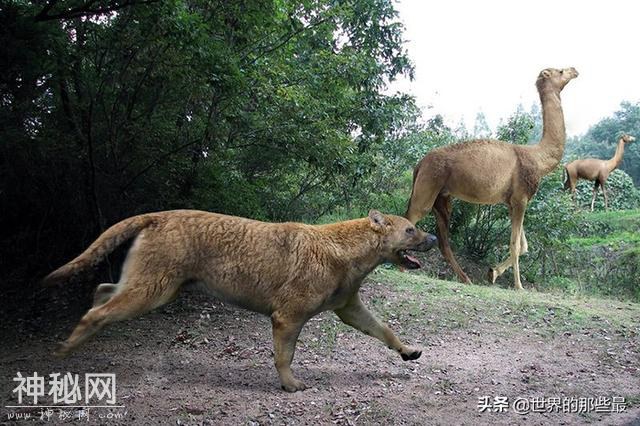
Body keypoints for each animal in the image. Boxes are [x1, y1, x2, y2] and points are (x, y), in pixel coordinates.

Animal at [43, 208, 436, 392]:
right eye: (410, 229)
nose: (433, 238)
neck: (348, 251)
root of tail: (156, 215)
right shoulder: (288, 317)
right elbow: (284, 355)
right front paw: (290, 385)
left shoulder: (349, 309)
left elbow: (385, 331)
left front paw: (409, 352)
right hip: (150, 292)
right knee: (96, 312)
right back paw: (64, 350)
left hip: (150, 287)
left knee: (100, 292)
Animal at [404, 67, 580, 290]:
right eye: (560, 71)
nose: (574, 70)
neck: (539, 159)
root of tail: (419, 164)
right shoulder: (521, 199)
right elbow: (515, 244)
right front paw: (518, 286)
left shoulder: (512, 202)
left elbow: (524, 245)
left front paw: (492, 272)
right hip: (428, 184)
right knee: (411, 216)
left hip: (442, 197)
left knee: (443, 239)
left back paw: (466, 278)